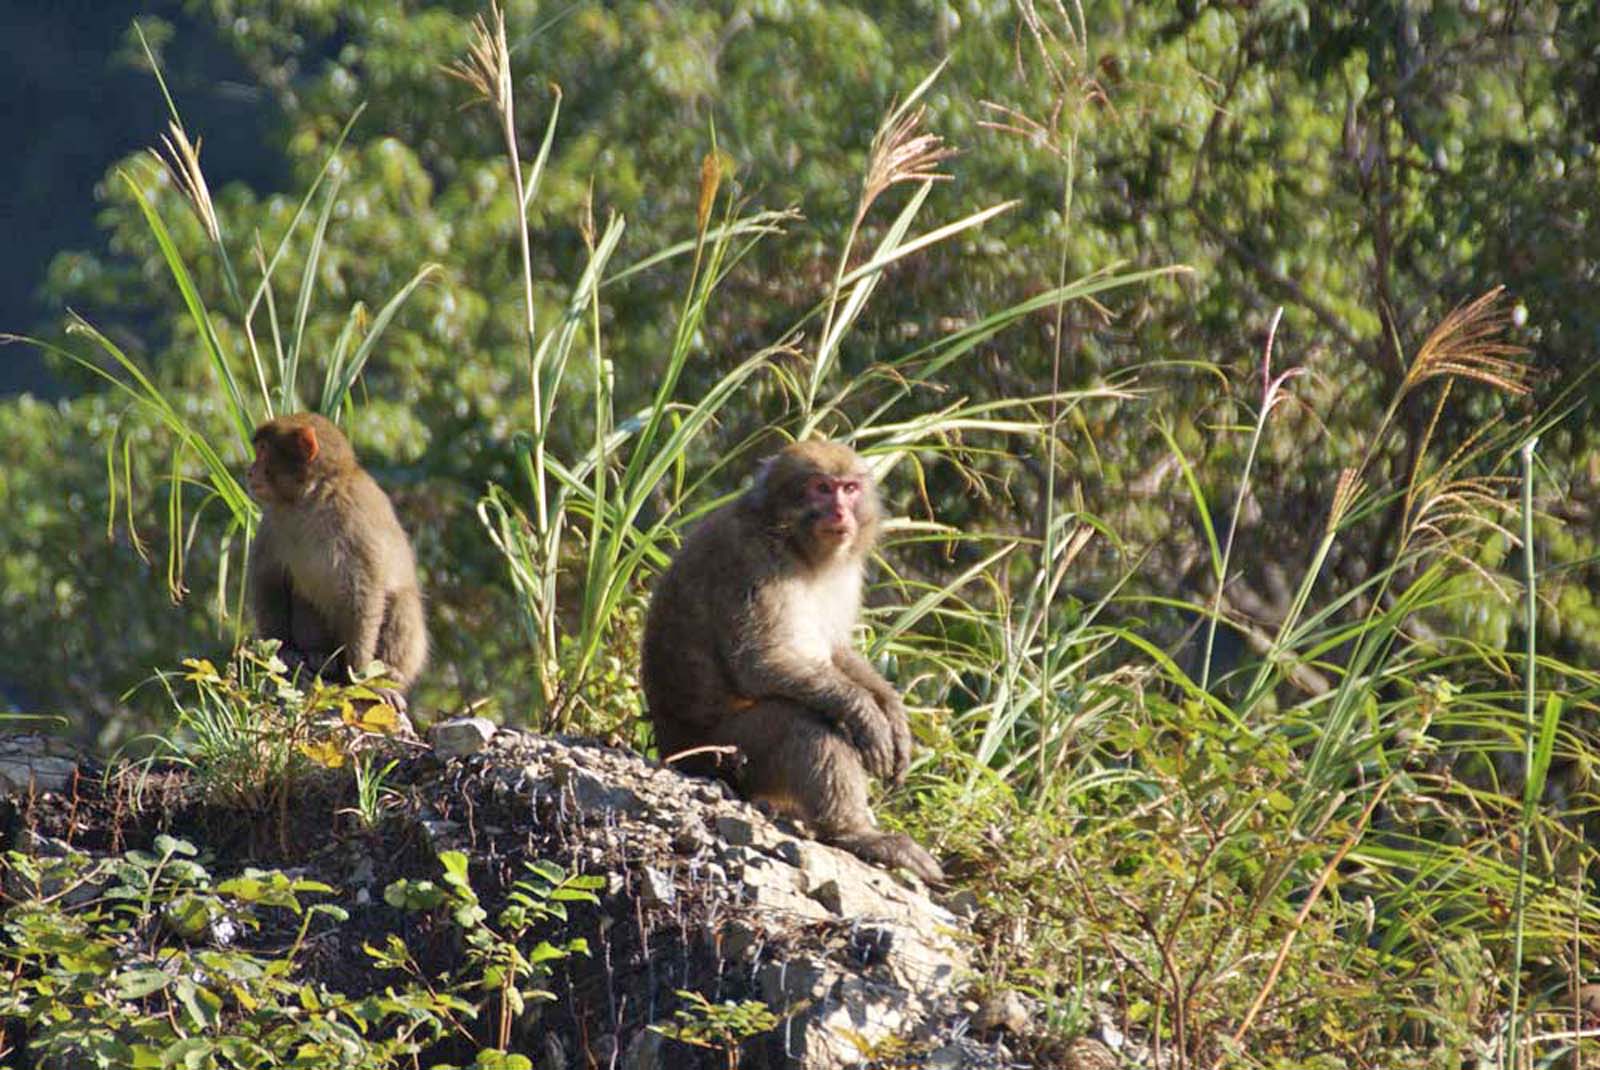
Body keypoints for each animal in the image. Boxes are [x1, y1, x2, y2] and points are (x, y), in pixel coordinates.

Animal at [636, 438, 934, 882]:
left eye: (849, 489)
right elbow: (760, 664)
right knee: (801, 723)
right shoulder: (750, 560)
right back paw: (855, 833)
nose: (840, 513)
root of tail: (670, 751)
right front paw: (865, 713)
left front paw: (891, 712)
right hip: (721, 755)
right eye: (821, 489)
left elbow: (835, 649)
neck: (791, 541)